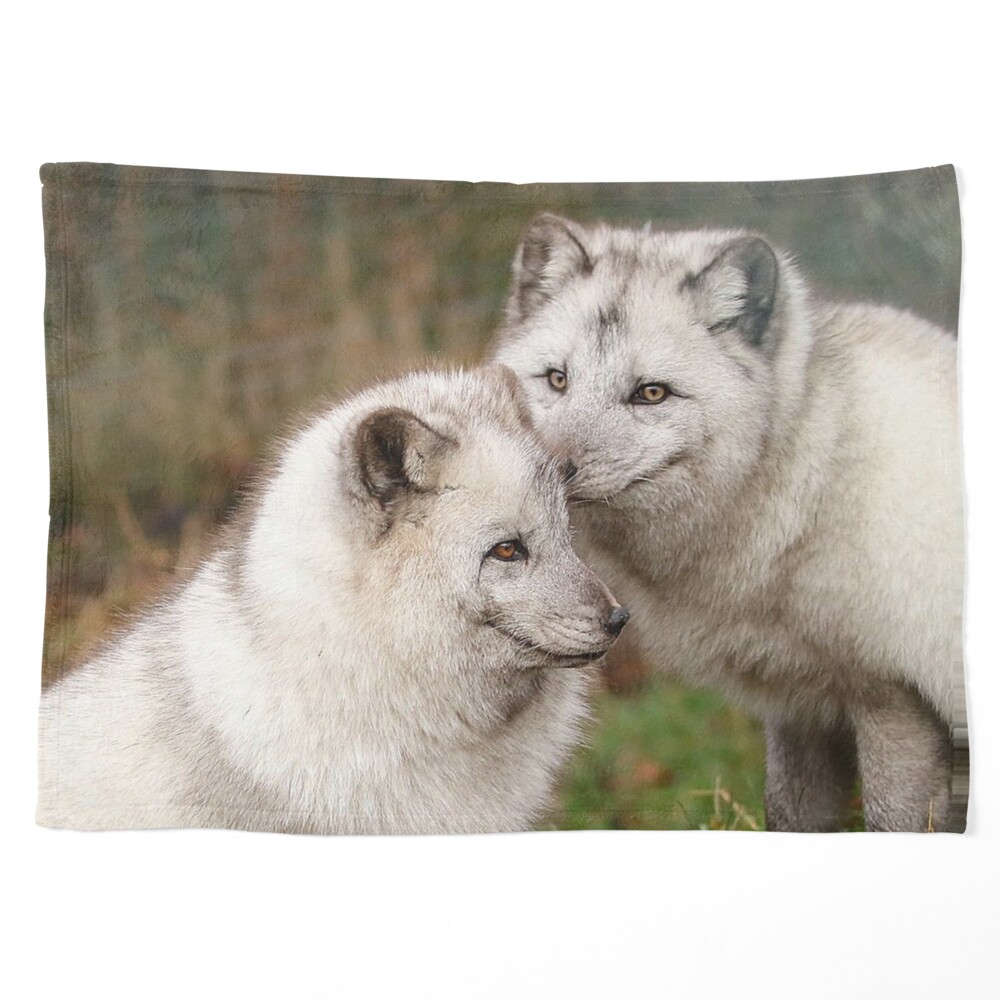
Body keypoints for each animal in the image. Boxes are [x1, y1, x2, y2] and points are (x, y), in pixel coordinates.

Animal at [496, 215, 964, 832]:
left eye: (651, 393)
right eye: (556, 380)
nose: (552, 468)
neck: (815, 466)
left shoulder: (896, 702)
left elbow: (895, 822)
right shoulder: (803, 707)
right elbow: (789, 816)